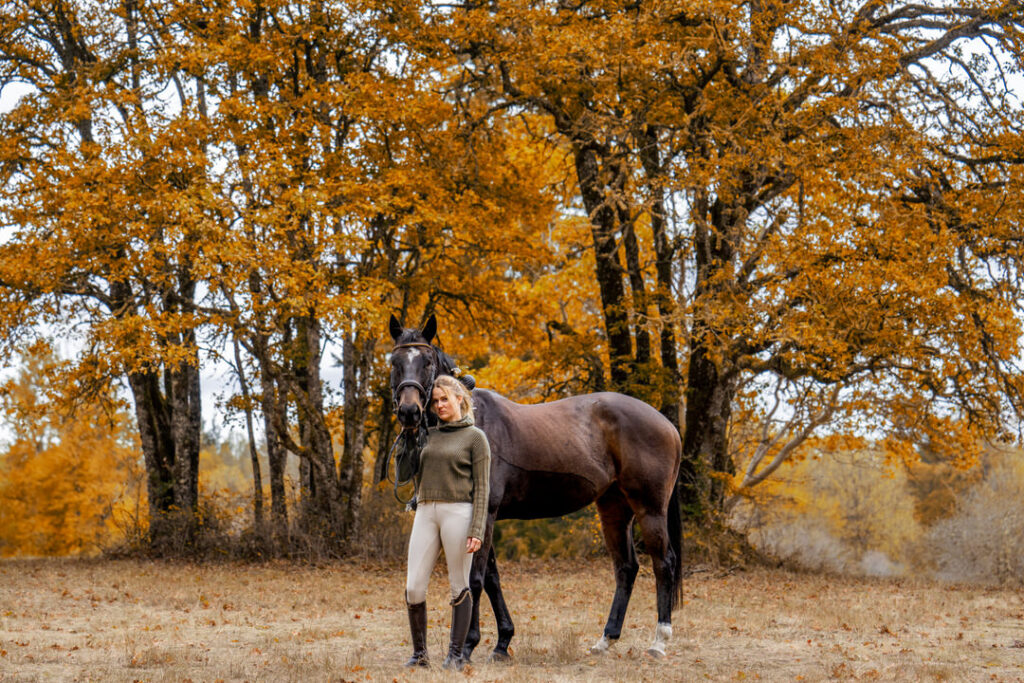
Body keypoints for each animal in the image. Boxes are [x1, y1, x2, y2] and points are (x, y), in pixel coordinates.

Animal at [387, 313, 684, 655]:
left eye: (426, 362)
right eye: (395, 362)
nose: (409, 412)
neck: (470, 421)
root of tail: (666, 424)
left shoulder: (484, 515)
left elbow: (475, 579)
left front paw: (469, 645)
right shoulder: (480, 519)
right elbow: (492, 579)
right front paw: (502, 642)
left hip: (650, 509)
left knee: (663, 563)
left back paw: (659, 640)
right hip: (613, 508)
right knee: (626, 568)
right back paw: (605, 639)